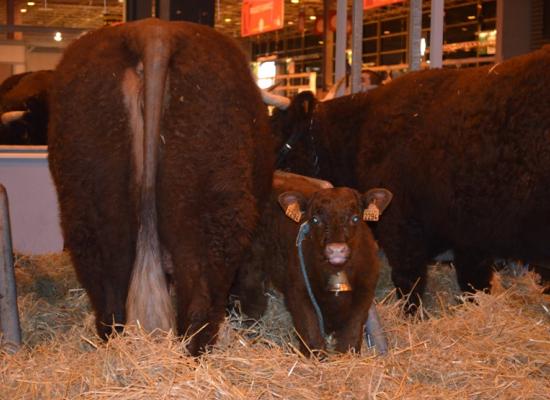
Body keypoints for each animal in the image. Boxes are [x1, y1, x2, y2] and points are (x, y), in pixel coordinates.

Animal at [235, 171, 394, 354]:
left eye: (355, 218)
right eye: (315, 220)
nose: (336, 249)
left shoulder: (364, 293)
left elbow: (352, 332)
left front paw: (346, 355)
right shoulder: (299, 291)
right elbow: (310, 330)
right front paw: (316, 356)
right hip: (251, 265)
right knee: (253, 298)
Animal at [270, 46, 550, 310]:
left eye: (276, 134)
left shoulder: (400, 224)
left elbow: (409, 280)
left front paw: (411, 315)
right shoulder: (470, 236)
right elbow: (474, 284)